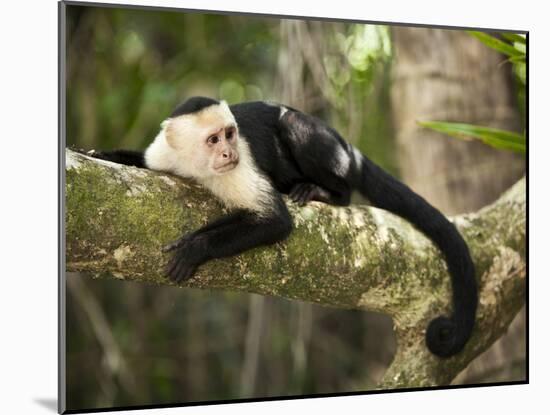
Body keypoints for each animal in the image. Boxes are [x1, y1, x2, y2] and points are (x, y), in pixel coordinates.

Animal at [89, 96, 478, 358]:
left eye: (230, 134)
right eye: (214, 139)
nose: (229, 153)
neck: (198, 166)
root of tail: (349, 147)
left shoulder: (239, 170)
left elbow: (274, 221)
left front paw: (195, 247)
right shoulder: (165, 155)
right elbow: (141, 162)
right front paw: (101, 154)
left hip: (334, 152)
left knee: (294, 125)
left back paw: (327, 192)